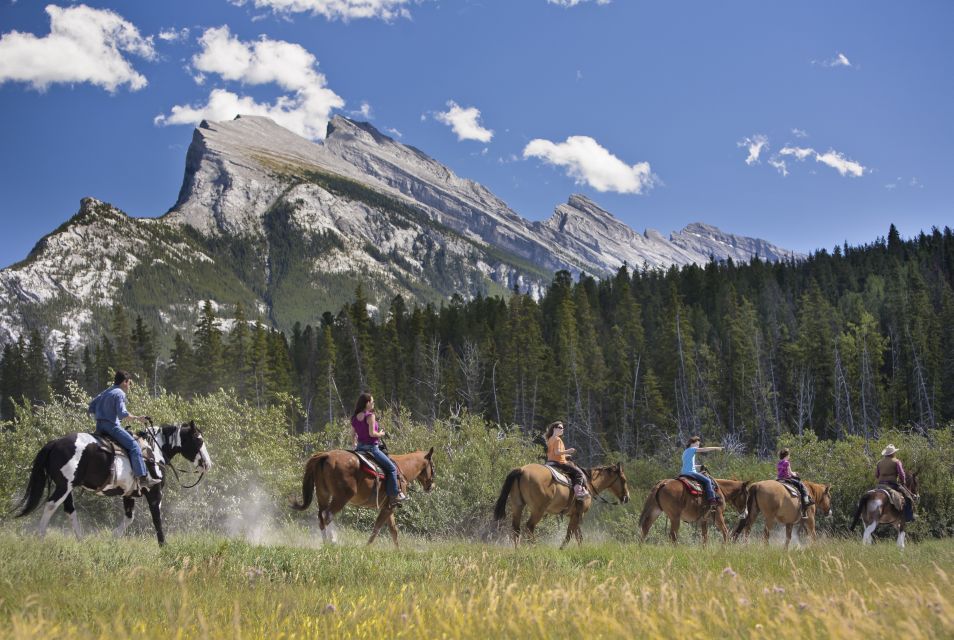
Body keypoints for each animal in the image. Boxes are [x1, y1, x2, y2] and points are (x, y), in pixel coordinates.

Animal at [15, 420, 212, 544]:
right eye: (198, 440)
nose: (208, 464)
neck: (154, 451)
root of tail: (54, 443)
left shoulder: (128, 494)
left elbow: (129, 518)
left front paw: (112, 539)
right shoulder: (155, 493)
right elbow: (157, 519)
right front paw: (164, 546)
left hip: (67, 488)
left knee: (69, 510)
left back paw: (81, 541)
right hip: (64, 486)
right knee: (50, 505)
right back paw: (40, 537)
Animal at [290, 448, 436, 548]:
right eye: (433, 466)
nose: (431, 486)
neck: (402, 469)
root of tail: (326, 455)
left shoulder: (388, 506)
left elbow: (393, 530)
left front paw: (398, 550)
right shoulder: (389, 508)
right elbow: (377, 528)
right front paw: (367, 547)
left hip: (323, 494)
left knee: (321, 516)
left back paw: (327, 542)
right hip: (341, 497)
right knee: (328, 515)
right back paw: (332, 541)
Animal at [490, 462, 632, 548]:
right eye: (624, 480)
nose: (627, 498)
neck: (589, 484)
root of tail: (521, 470)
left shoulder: (574, 515)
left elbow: (578, 536)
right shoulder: (579, 514)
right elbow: (570, 534)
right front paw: (561, 549)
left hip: (517, 506)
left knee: (516, 528)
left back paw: (517, 549)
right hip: (538, 510)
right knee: (529, 526)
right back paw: (535, 547)